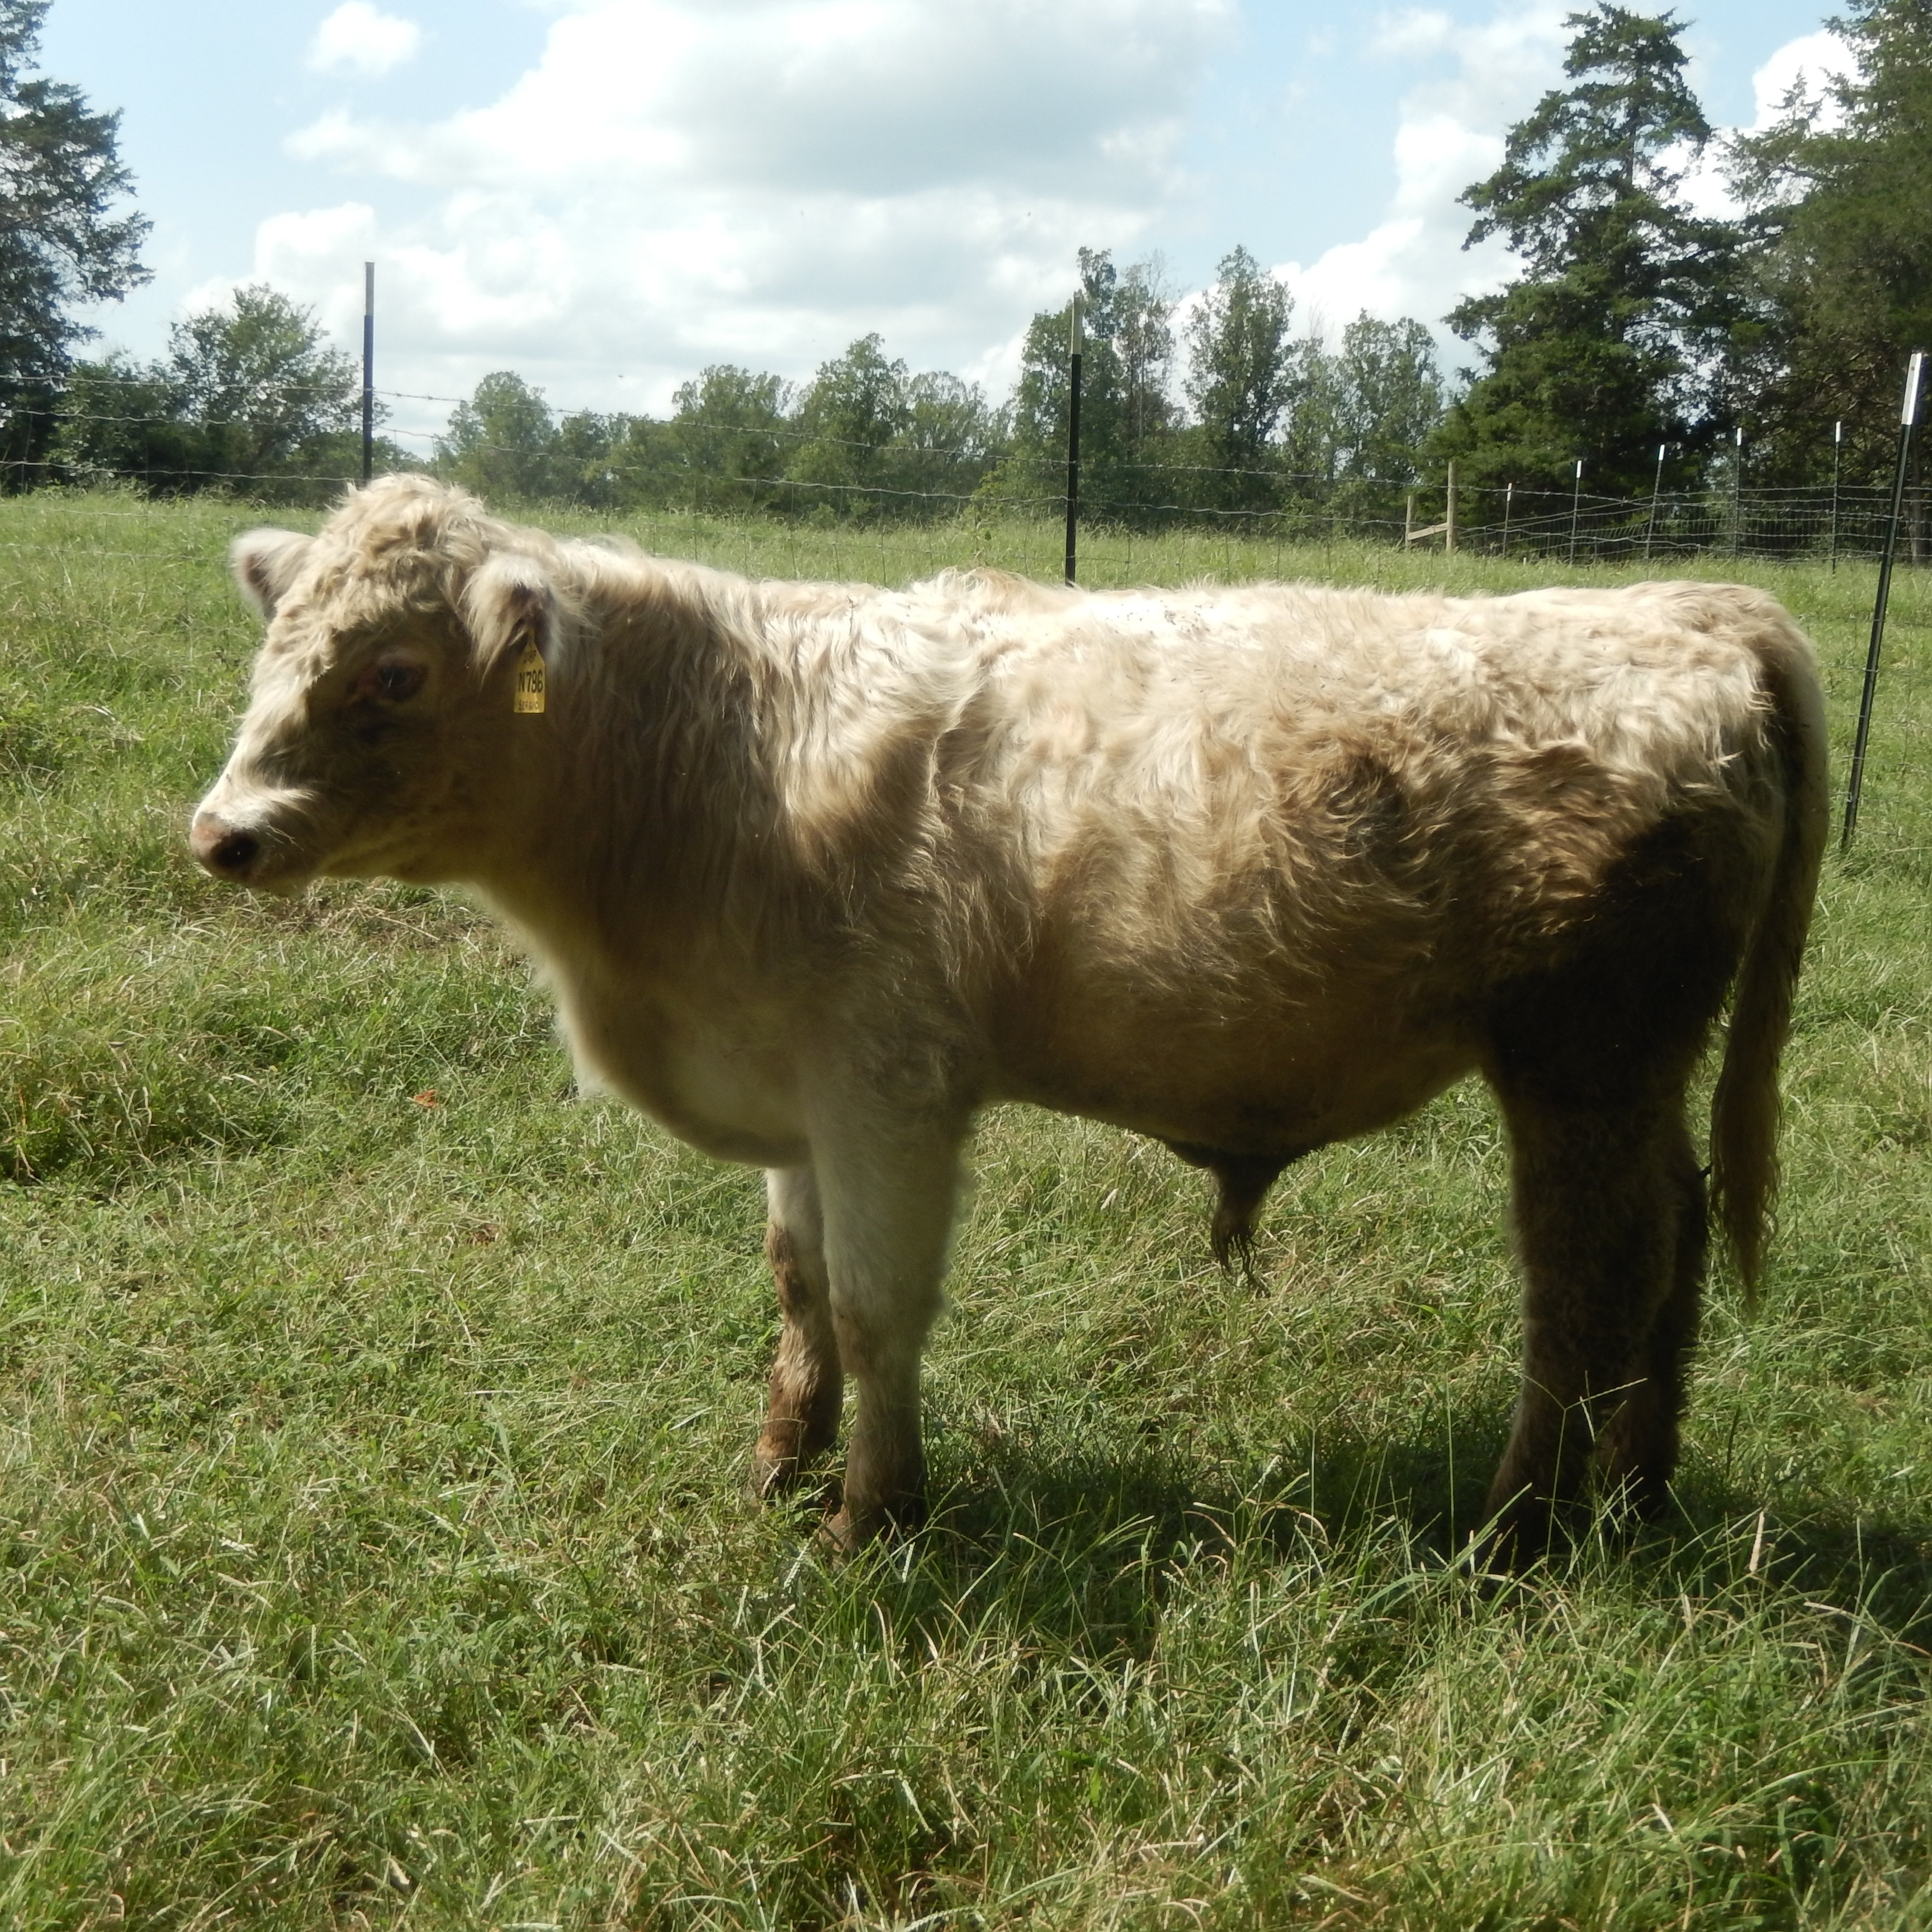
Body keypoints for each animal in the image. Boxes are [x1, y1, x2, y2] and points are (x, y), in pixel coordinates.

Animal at [191, 475, 1827, 1562]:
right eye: (276, 651)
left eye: (395, 669)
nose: (225, 832)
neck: (722, 748)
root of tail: (1684, 607)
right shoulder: (794, 1090)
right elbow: (799, 1290)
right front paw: (779, 1464)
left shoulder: (887, 1090)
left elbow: (874, 1303)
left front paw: (871, 1514)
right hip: (1631, 1081)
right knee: (1672, 1239)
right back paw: (1637, 1494)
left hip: (1577, 1065)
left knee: (1585, 1279)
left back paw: (1515, 1525)